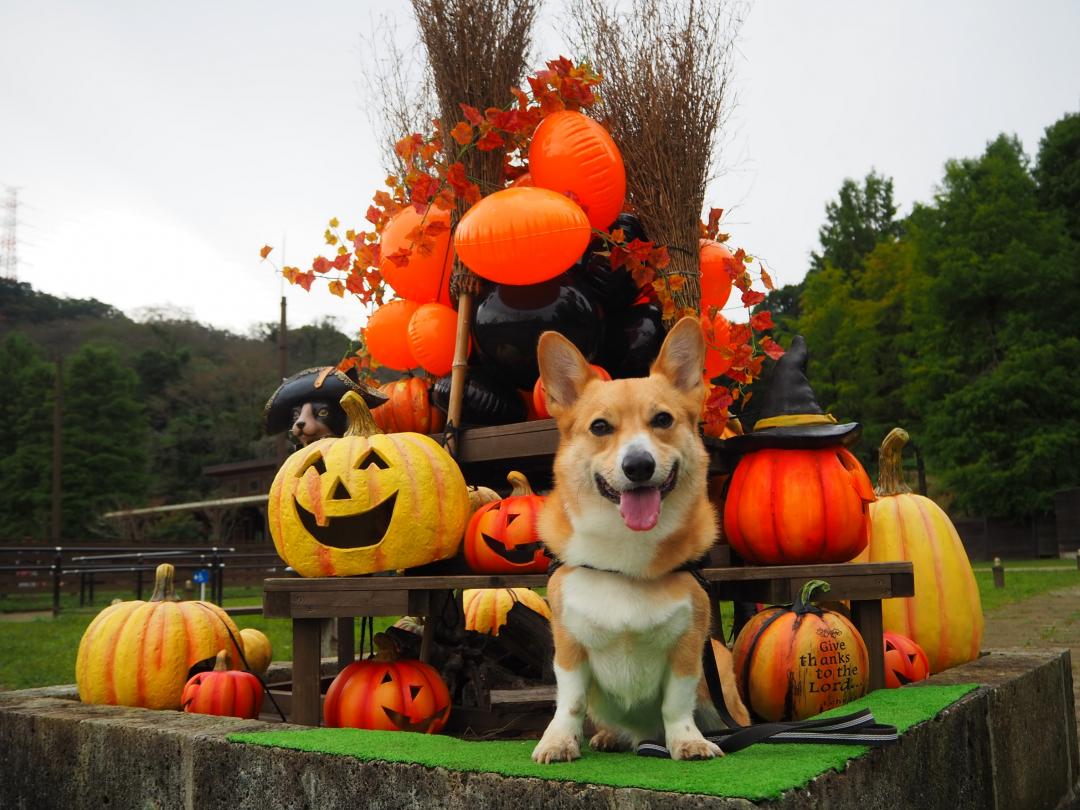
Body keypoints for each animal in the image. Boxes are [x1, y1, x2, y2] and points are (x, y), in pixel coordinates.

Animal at [527, 319, 747, 768]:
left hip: (718, 667)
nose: (639, 466)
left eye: (662, 419)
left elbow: (676, 704)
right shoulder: (568, 645)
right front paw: (558, 742)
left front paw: (687, 742)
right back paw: (610, 736)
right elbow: (570, 701)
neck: (625, 559)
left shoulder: (688, 647)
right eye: (599, 427)